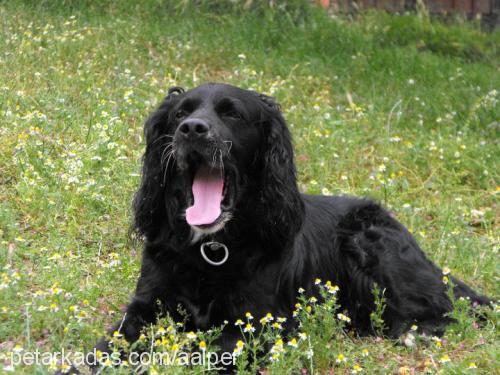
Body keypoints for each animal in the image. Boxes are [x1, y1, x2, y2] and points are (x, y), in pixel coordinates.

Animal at [91, 81, 488, 368]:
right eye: (179, 114)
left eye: (232, 114)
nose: (192, 129)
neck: (213, 246)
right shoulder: (146, 305)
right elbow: (107, 346)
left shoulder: (260, 323)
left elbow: (200, 352)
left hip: (370, 241)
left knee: (448, 309)